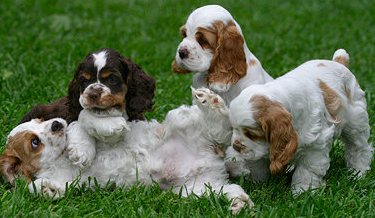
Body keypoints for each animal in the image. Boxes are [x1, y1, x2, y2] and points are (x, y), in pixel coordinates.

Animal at [226, 49, 374, 194]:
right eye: (233, 129)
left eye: (251, 134)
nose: (236, 146)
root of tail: (338, 62)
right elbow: (257, 165)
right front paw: (256, 184)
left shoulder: (315, 145)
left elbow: (306, 171)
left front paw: (302, 192)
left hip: (355, 123)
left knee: (359, 148)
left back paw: (357, 173)